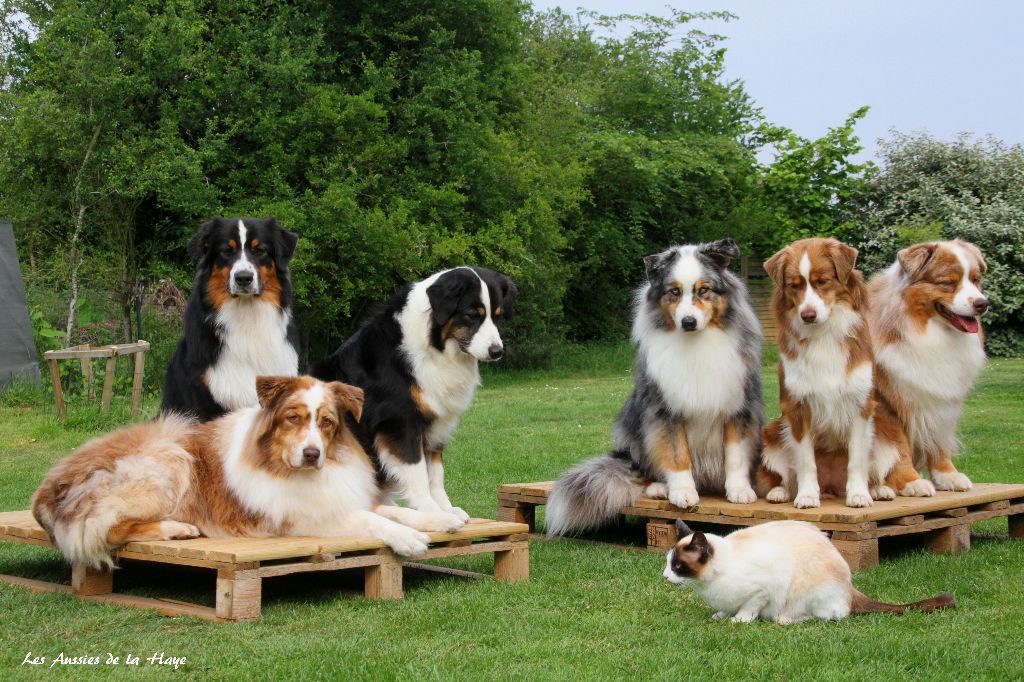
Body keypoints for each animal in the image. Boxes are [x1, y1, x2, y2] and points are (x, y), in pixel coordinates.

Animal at [30, 374, 464, 565]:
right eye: (293, 418)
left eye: (326, 422)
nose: (312, 453)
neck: (293, 471)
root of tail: (44, 489)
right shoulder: (304, 519)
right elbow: (373, 521)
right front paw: (409, 540)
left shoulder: (341, 496)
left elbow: (393, 510)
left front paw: (441, 520)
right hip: (168, 457)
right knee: (110, 529)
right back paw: (176, 528)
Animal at [311, 266, 516, 524]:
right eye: (471, 314)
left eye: (497, 316)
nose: (496, 351)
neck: (434, 347)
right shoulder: (400, 421)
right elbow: (417, 472)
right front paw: (432, 513)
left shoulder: (436, 422)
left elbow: (436, 473)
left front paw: (446, 509)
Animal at [659, 518, 954, 618]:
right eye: (668, 563)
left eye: (677, 566)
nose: (664, 576)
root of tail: (851, 588)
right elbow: (726, 608)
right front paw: (720, 615)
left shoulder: (762, 589)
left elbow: (747, 608)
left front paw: (738, 620)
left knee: (833, 615)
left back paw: (785, 619)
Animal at [757, 237, 901, 503]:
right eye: (794, 286)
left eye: (822, 281)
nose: (808, 315)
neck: (823, 333)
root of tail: (831, 486)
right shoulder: (797, 407)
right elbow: (805, 460)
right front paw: (806, 496)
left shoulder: (860, 405)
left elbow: (857, 459)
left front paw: (859, 494)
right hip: (772, 431)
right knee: (786, 475)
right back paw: (782, 492)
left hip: (886, 435)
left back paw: (878, 489)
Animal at [868, 237, 987, 489]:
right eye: (947, 282)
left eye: (975, 280)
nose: (983, 303)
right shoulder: (884, 403)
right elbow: (898, 446)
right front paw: (910, 481)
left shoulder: (942, 400)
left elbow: (937, 439)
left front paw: (947, 475)